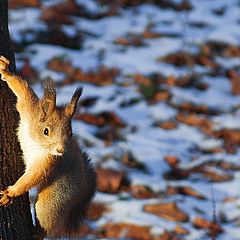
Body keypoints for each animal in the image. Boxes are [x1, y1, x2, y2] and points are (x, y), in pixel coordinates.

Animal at [0, 56, 96, 238]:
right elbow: (24, 91)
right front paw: (5, 71)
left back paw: (36, 233)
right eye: (46, 131)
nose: (60, 150)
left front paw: (10, 193)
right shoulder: (30, 111)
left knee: (45, 221)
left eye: (71, 134)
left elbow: (33, 176)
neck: (36, 141)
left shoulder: (47, 161)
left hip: (54, 200)